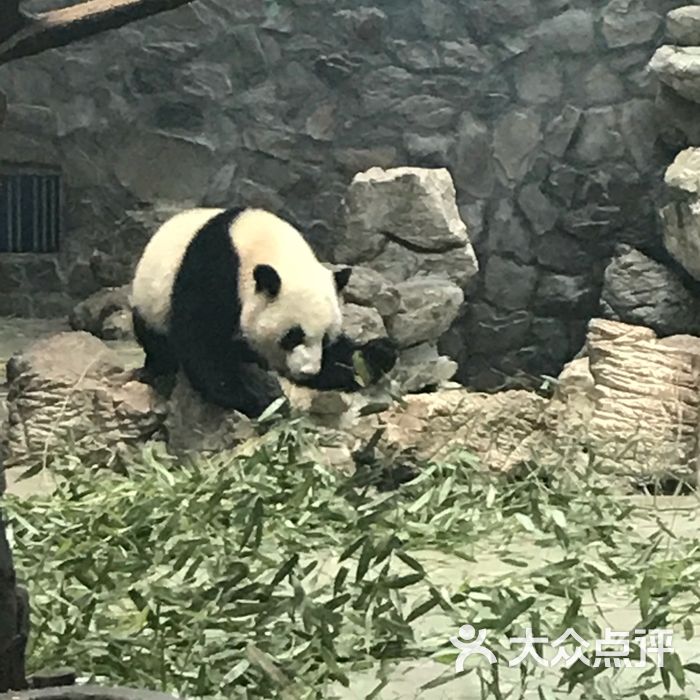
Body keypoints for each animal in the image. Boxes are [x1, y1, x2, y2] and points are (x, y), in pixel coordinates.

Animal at [129, 206, 396, 416]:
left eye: (326, 337)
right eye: (293, 335)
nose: (308, 371)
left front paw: (374, 355)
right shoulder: (215, 269)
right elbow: (201, 337)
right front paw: (252, 399)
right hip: (150, 306)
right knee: (159, 345)